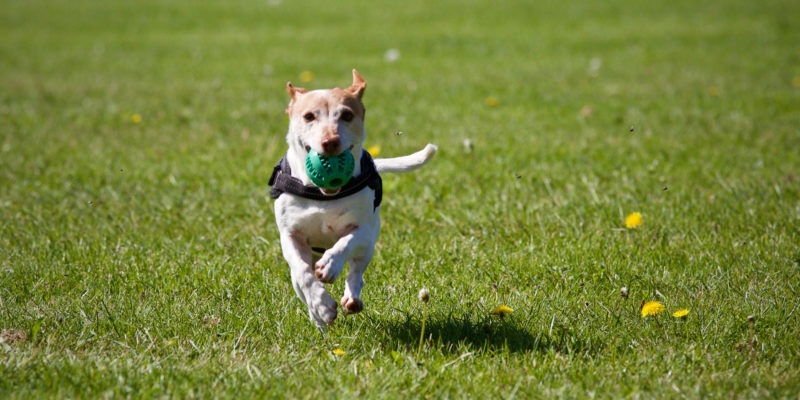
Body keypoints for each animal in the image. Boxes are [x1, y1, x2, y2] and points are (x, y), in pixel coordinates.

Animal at [272, 69, 440, 328]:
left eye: (347, 115)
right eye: (309, 116)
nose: (330, 142)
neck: (323, 196)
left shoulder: (363, 230)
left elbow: (345, 243)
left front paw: (330, 266)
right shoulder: (290, 235)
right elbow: (303, 274)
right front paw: (321, 306)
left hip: (368, 248)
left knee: (356, 273)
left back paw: (351, 298)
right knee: (300, 282)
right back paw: (318, 318)